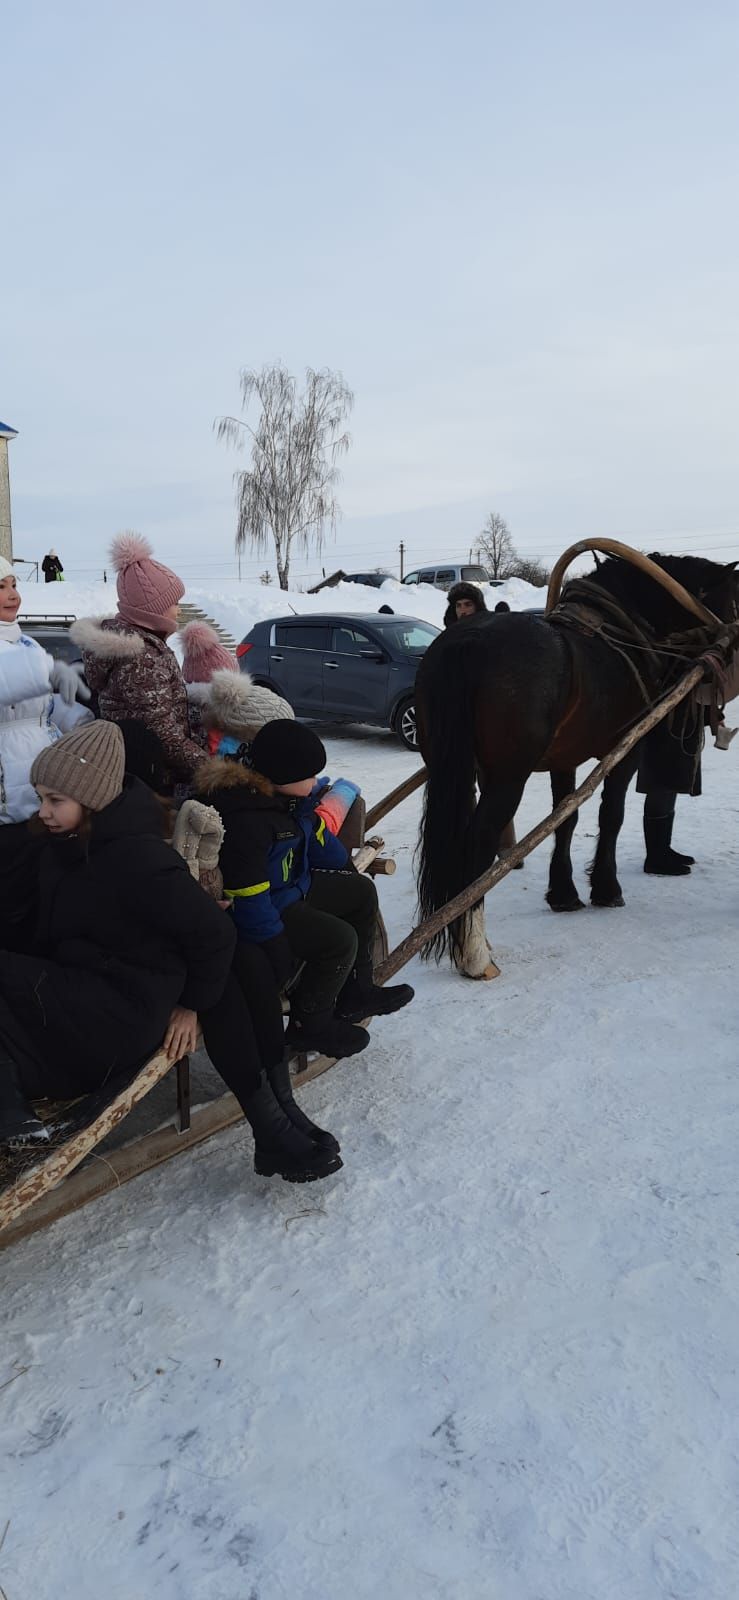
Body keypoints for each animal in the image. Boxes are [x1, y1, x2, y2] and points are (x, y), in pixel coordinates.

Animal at [415, 550, 739, 972]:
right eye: (734, 598)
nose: (732, 645)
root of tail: (469, 640)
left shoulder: (563, 760)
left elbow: (564, 820)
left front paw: (563, 893)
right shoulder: (626, 751)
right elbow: (611, 816)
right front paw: (606, 887)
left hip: (448, 765)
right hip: (507, 777)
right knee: (478, 840)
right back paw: (473, 952)